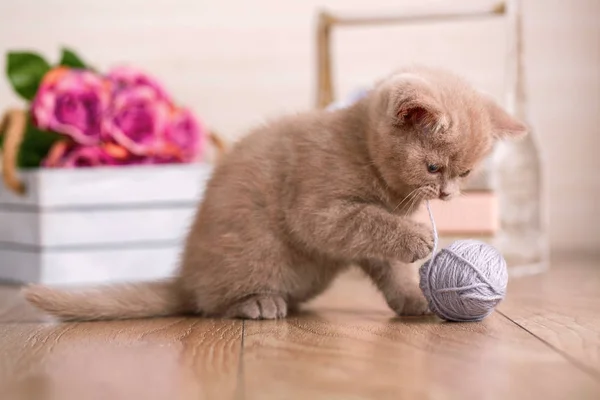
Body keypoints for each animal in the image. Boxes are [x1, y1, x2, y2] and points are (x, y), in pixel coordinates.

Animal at [23, 67, 528, 320]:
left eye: (465, 172)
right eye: (433, 167)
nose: (447, 195)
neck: (360, 150)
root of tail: (185, 278)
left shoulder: (364, 242)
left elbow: (388, 266)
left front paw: (413, 300)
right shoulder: (320, 211)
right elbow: (366, 223)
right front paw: (417, 239)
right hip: (253, 249)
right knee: (214, 305)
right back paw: (258, 303)